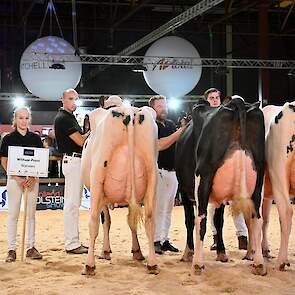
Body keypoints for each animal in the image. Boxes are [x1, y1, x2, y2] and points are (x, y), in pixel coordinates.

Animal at [81, 105, 160, 276]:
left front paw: (105, 251)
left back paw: (89, 265)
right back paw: (152, 263)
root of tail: (128, 110)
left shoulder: (103, 196)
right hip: (152, 176)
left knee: (93, 221)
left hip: (97, 179)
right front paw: (137, 251)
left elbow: (106, 221)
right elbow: (131, 222)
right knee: (149, 219)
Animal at [176, 97, 268, 278]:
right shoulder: (220, 196)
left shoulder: (184, 191)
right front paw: (221, 253)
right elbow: (219, 222)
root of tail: (236, 103)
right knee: (257, 220)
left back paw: (197, 264)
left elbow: (189, 221)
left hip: (203, 178)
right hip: (259, 179)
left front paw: (188, 253)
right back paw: (258, 264)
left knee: (201, 219)